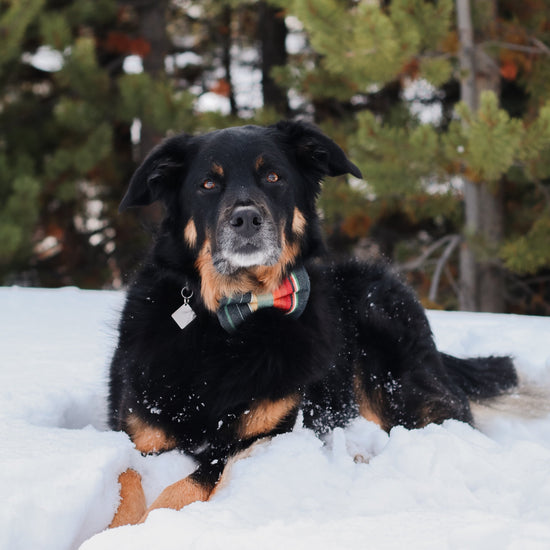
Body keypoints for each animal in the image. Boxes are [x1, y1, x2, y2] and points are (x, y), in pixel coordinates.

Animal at [106, 119, 516, 528]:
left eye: (273, 177)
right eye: (207, 184)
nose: (247, 219)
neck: (228, 321)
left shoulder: (261, 435)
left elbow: (186, 485)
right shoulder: (134, 435)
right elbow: (123, 478)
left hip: (389, 344)